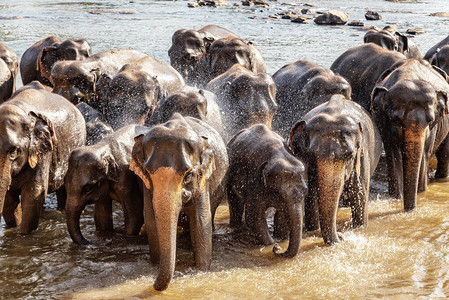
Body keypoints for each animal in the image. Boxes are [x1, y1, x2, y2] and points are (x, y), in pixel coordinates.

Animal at [129, 112, 228, 290]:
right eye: (147, 172)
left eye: (188, 174)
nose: (152, 285)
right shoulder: (147, 188)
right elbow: (151, 221)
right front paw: (155, 266)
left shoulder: (203, 181)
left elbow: (201, 223)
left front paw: (201, 271)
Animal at [228, 124, 308, 258]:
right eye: (280, 194)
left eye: (305, 192)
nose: (277, 249)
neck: (279, 156)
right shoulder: (254, 180)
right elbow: (254, 216)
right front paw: (272, 244)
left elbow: (282, 215)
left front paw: (280, 239)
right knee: (235, 203)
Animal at [288, 95, 380, 245]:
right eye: (311, 155)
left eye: (350, 155)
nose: (341, 236)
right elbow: (311, 198)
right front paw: (313, 230)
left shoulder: (362, 157)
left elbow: (359, 196)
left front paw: (359, 228)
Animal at [370, 59, 448, 211]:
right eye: (396, 120)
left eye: (430, 120)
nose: (410, 210)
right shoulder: (384, 124)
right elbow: (393, 155)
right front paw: (397, 196)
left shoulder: (432, 129)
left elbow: (424, 155)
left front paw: (421, 191)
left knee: (444, 154)